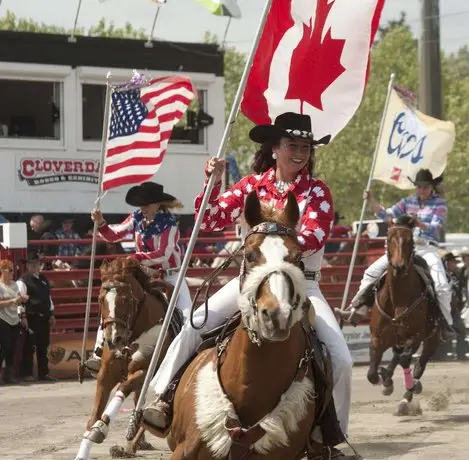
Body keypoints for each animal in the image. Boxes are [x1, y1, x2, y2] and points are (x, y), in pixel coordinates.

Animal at [366, 217, 438, 416]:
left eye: (409, 241)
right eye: (389, 239)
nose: (399, 266)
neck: (398, 299)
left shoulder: (416, 335)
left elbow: (406, 359)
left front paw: (409, 386)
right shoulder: (377, 338)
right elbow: (371, 374)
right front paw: (384, 381)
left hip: (431, 339)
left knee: (417, 364)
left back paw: (407, 397)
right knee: (398, 357)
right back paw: (388, 378)